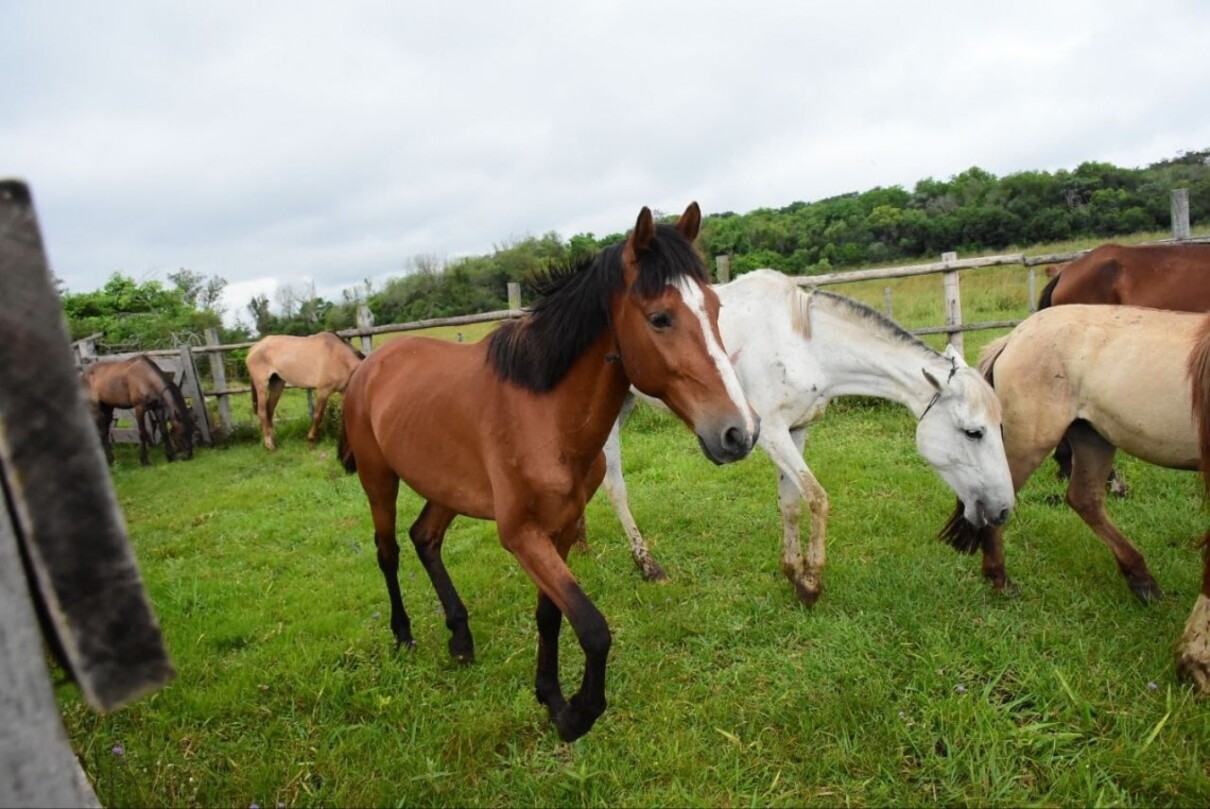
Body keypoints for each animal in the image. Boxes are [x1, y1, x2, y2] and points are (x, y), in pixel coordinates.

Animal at [337, 203, 758, 742]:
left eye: (715, 310)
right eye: (660, 318)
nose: (738, 432)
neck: (544, 411)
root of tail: (367, 365)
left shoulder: (558, 529)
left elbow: (551, 616)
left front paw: (552, 698)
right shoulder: (522, 535)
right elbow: (593, 627)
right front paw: (578, 714)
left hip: (446, 489)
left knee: (425, 538)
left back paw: (460, 639)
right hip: (378, 480)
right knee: (388, 551)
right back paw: (404, 635)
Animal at [599, 269, 1016, 604]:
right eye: (974, 432)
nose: (1003, 510)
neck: (803, 346)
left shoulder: (796, 431)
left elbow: (791, 504)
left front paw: (793, 573)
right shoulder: (770, 434)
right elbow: (817, 498)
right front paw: (812, 582)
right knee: (615, 486)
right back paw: (648, 566)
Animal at [937, 304, 1210, 693]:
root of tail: (1014, 337)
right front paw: (1196, 662)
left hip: (1092, 436)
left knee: (1084, 499)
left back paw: (1141, 581)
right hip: (1035, 439)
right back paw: (1000, 580)